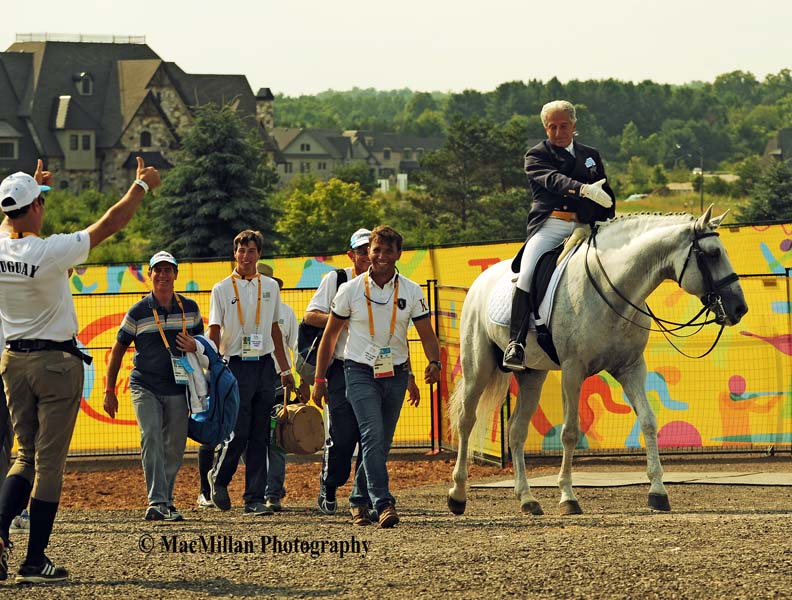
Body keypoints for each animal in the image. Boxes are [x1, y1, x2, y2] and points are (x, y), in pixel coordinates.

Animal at [448, 207, 744, 516]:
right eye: (713, 254)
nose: (739, 308)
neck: (611, 288)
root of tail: (481, 280)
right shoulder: (572, 371)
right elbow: (570, 432)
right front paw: (568, 497)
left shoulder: (631, 369)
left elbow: (648, 421)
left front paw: (658, 492)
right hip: (477, 368)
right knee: (466, 421)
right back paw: (457, 495)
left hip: (532, 375)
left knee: (516, 430)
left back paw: (527, 499)